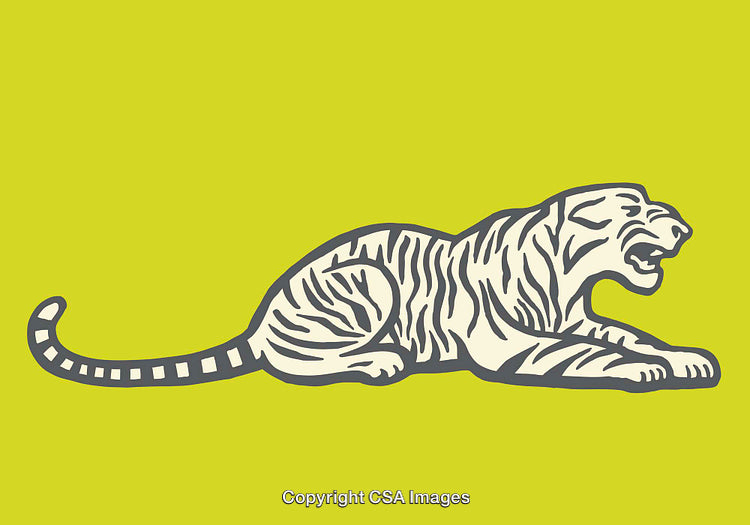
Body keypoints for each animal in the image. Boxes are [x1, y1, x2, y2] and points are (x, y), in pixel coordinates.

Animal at [27, 183, 720, 392]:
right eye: (635, 209)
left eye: (656, 202)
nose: (686, 225)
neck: (564, 278)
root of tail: (262, 315)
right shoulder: (514, 344)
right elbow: (591, 355)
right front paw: (644, 371)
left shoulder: (578, 317)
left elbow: (630, 333)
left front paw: (686, 358)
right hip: (368, 280)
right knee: (294, 362)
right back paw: (382, 360)